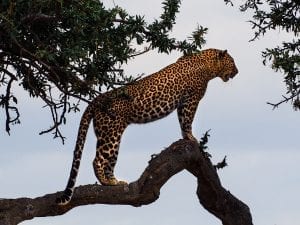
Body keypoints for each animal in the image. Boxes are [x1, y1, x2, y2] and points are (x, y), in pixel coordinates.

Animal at [56, 48, 239, 205]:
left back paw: (114, 182)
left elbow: (182, 121)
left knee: (109, 160)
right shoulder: (191, 100)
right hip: (111, 134)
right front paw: (191, 138)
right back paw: (106, 182)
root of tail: (98, 98)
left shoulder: (183, 103)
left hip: (107, 134)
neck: (208, 65)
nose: (237, 72)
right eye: (232, 62)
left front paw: (186, 137)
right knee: (98, 160)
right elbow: (187, 121)